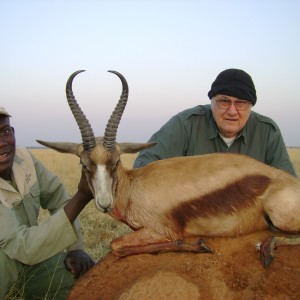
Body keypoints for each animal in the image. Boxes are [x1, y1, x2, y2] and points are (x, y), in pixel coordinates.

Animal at [37, 70, 300, 268]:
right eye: (84, 164)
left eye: (116, 162)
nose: (104, 202)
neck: (132, 188)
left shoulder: (159, 230)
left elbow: (116, 245)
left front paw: (198, 244)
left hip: (279, 217)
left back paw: (267, 249)